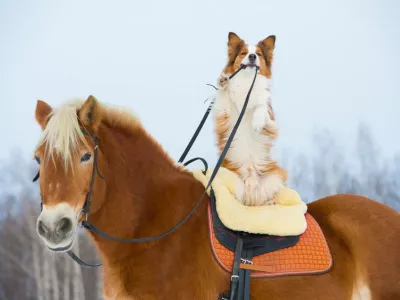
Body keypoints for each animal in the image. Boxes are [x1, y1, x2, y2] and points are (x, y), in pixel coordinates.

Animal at [212, 32, 288, 206]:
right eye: (243, 53)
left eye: (258, 54)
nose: (252, 56)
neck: (247, 83)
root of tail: (251, 186)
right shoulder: (224, 111)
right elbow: (224, 95)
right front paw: (223, 81)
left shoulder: (271, 120)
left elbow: (261, 107)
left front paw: (257, 122)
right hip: (225, 175)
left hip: (276, 175)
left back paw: (270, 202)